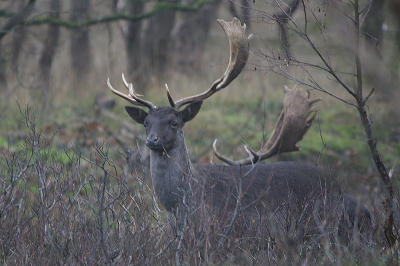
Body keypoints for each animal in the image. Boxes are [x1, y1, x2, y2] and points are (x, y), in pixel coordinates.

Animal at [107, 17, 372, 244]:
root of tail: (338, 186)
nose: (152, 141)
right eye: (146, 123)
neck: (182, 205)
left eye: (174, 122)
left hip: (319, 224)